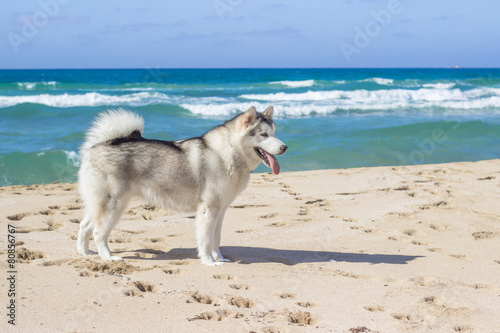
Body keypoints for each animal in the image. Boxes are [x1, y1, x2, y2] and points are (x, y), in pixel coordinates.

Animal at [76, 106, 288, 264]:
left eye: (275, 134)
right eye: (263, 134)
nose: (284, 147)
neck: (227, 153)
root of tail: (103, 143)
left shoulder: (220, 211)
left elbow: (216, 239)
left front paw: (220, 258)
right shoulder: (208, 210)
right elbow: (206, 240)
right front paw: (209, 262)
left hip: (101, 204)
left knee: (84, 226)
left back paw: (85, 253)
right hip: (114, 206)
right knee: (98, 232)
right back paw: (108, 257)